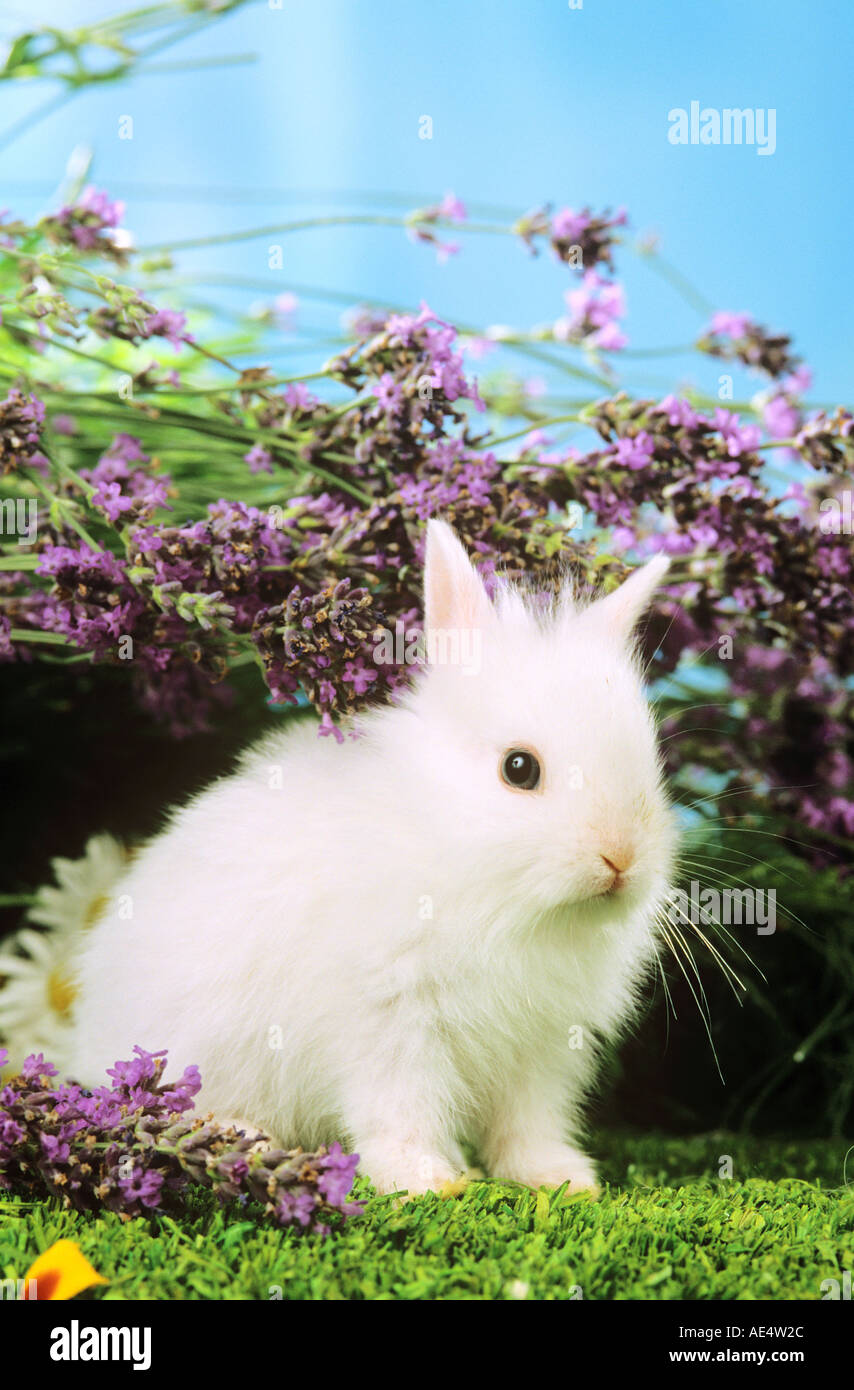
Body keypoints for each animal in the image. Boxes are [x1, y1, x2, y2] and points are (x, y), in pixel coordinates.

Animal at [65, 519, 678, 1196]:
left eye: (651, 759)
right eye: (520, 768)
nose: (621, 858)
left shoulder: (540, 1048)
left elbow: (529, 1123)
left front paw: (562, 1180)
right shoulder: (392, 1026)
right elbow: (398, 1111)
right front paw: (428, 1182)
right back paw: (243, 1138)